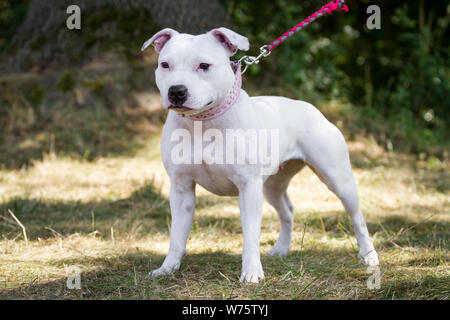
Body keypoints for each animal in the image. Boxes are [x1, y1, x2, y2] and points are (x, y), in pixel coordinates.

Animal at [142, 27, 378, 282]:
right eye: (165, 65)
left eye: (204, 65)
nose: (176, 91)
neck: (203, 123)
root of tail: (311, 108)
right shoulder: (181, 188)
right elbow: (176, 236)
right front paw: (167, 268)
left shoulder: (248, 188)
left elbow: (251, 236)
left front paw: (252, 273)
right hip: (273, 186)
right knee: (287, 211)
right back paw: (281, 248)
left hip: (338, 180)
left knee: (357, 217)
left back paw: (368, 255)